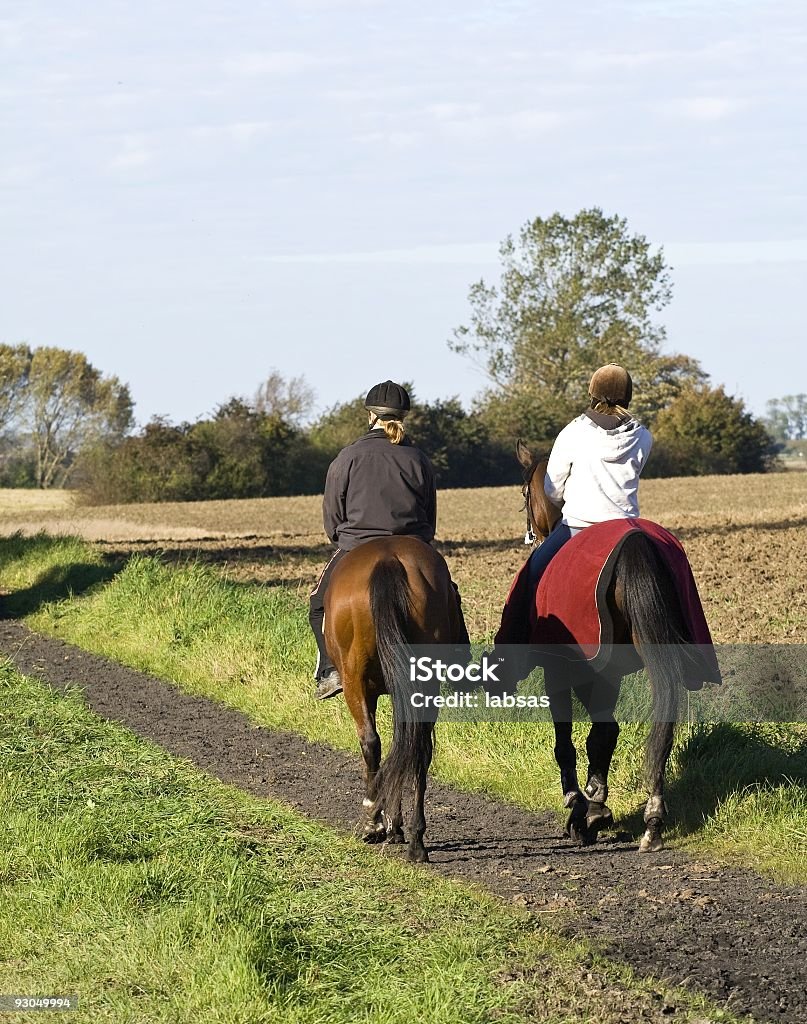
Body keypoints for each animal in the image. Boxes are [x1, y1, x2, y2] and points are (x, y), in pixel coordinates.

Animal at [319, 536, 460, 864]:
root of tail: (388, 560)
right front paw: (397, 826)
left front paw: (386, 824)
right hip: (423, 682)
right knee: (419, 749)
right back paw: (416, 842)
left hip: (355, 683)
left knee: (371, 743)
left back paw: (373, 821)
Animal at [514, 438, 708, 847]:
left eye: (525, 493)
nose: (531, 533)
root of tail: (636, 542)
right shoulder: (607, 667)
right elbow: (603, 733)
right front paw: (594, 806)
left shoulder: (560, 666)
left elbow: (567, 739)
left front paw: (580, 802)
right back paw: (651, 816)